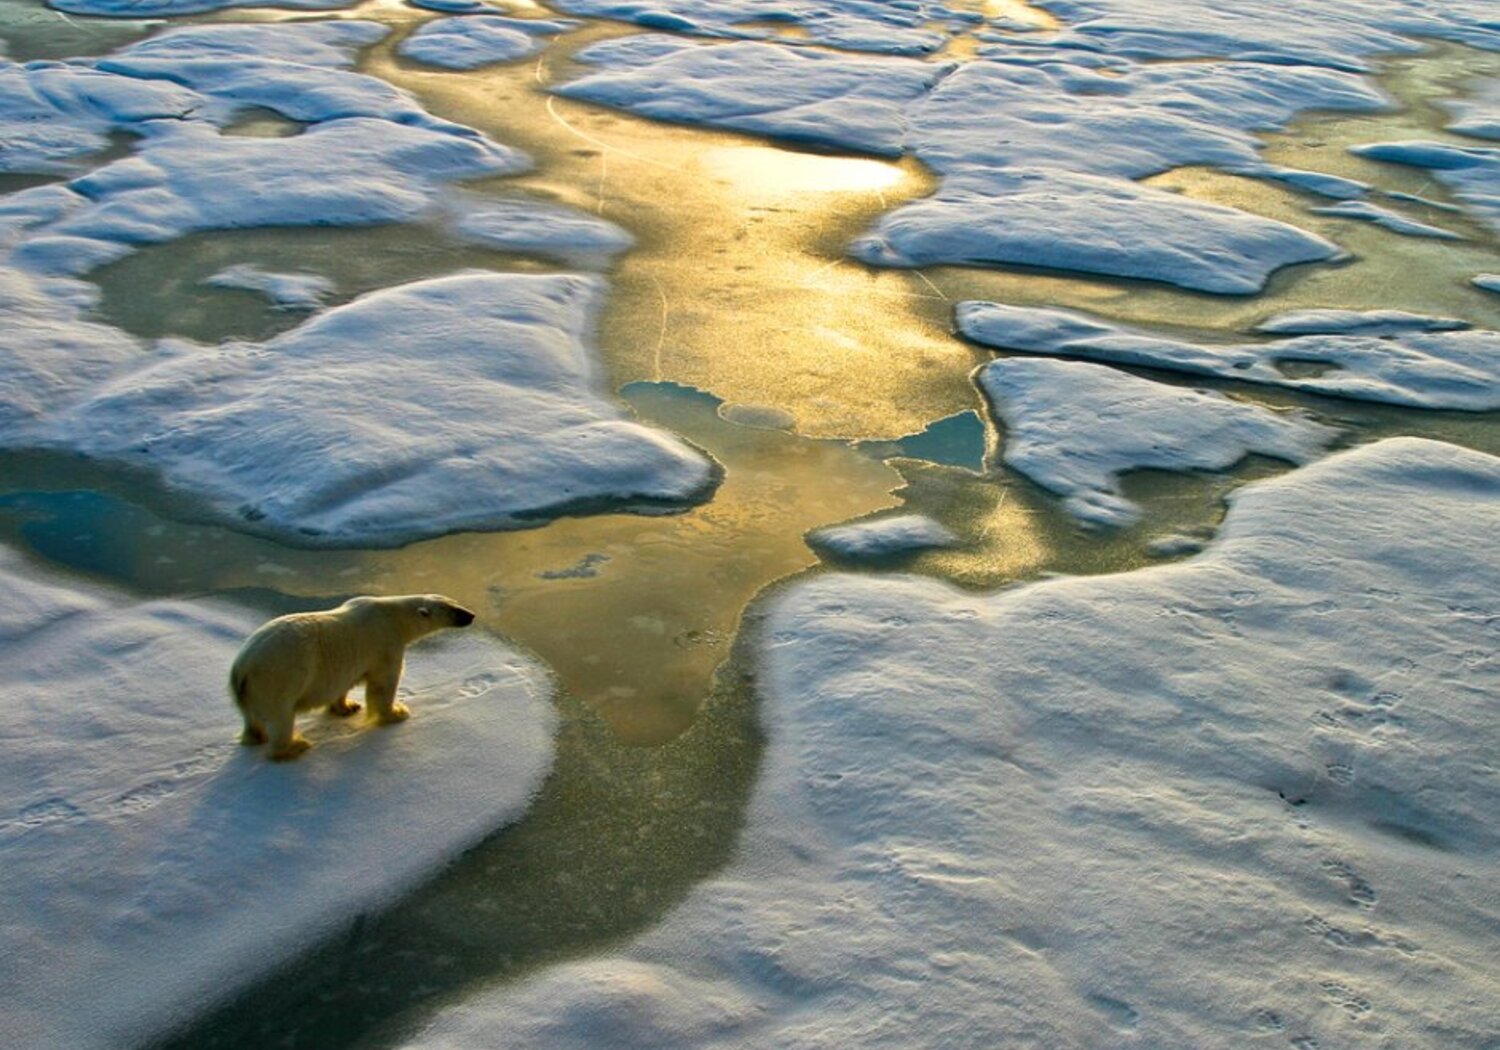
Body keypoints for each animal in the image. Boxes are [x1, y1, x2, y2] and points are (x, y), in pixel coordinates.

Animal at [229, 594, 476, 761]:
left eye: (455, 601)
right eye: (452, 609)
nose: (472, 615)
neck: (392, 616)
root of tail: (241, 667)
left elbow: (343, 685)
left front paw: (348, 707)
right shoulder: (385, 643)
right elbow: (383, 684)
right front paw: (397, 713)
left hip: (248, 691)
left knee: (251, 718)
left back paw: (255, 737)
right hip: (277, 678)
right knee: (281, 717)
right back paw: (295, 746)